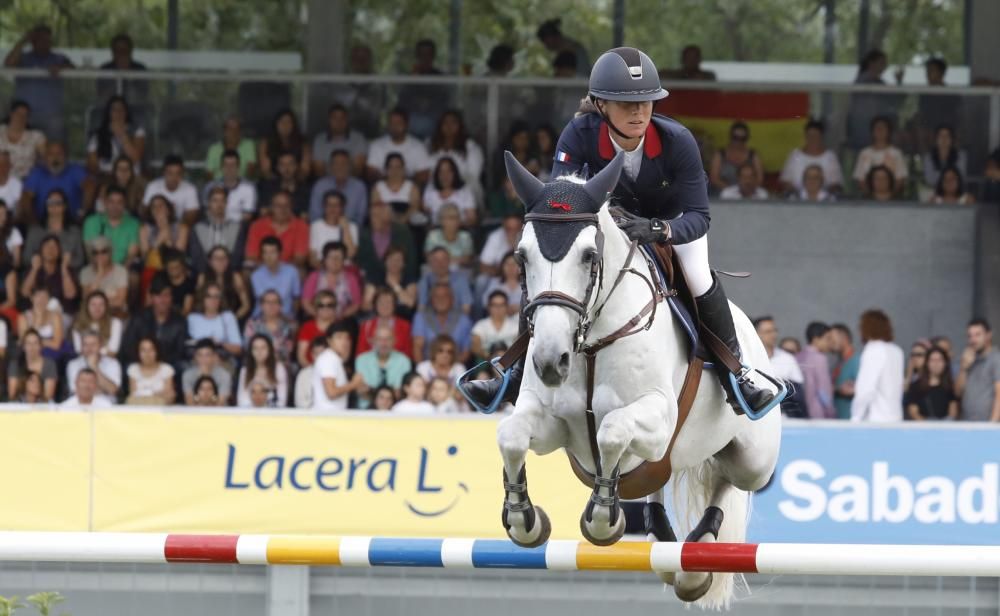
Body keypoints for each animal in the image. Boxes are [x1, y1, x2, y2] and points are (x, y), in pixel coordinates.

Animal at [496, 153, 784, 608]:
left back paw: (695, 559)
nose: (550, 362)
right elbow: (510, 436)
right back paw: (664, 540)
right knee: (661, 479)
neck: (591, 344)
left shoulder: (659, 418)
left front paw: (603, 519)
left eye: (589, 256)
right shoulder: (553, 423)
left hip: (755, 460)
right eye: (522, 258)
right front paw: (524, 519)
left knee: (728, 480)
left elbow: (612, 431)